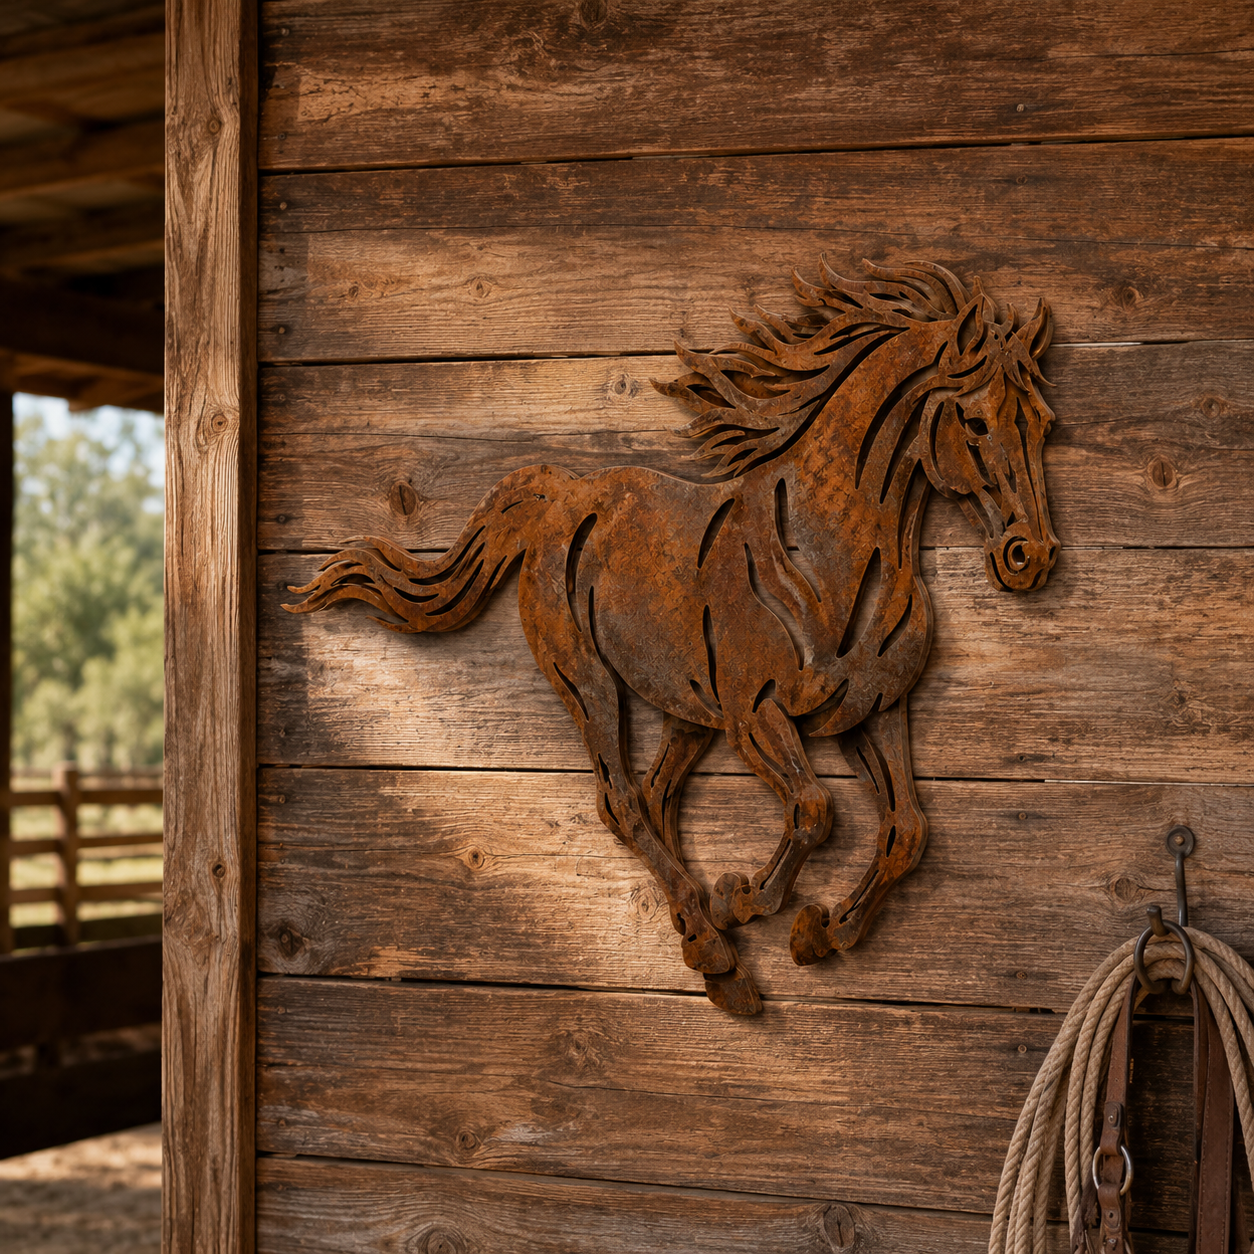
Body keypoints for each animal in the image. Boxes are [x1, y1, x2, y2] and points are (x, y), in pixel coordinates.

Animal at [286, 258, 1059, 1015]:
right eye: (976, 422)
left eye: (1043, 422)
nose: (1030, 555)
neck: (830, 555)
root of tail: (562, 497)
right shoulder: (755, 715)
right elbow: (816, 809)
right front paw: (747, 899)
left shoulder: (876, 710)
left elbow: (906, 832)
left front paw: (820, 932)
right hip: (588, 684)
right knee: (624, 804)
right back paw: (718, 952)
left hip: (687, 708)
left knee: (657, 798)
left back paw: (708, 948)